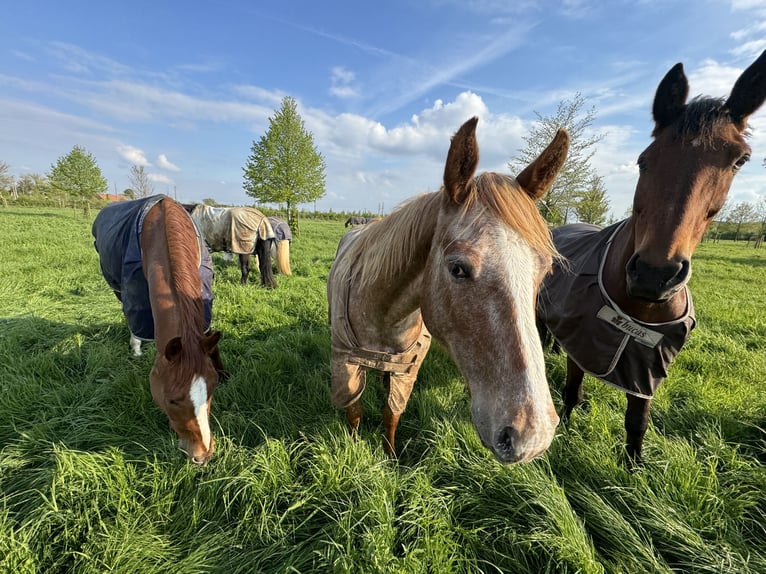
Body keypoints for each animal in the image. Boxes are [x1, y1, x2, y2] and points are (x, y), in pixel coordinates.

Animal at [328, 119, 572, 466]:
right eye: (457, 269)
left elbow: (391, 413)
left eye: (545, 270)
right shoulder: (344, 364)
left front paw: (390, 457)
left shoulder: (408, 370)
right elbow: (354, 411)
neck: (383, 314)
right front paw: (352, 446)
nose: (531, 436)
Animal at [536, 48, 766, 464]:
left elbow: (637, 422)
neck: (638, 306)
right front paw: (564, 430)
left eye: (739, 160)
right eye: (645, 159)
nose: (654, 274)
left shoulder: (648, 368)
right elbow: (573, 392)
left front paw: (632, 470)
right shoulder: (586, 343)